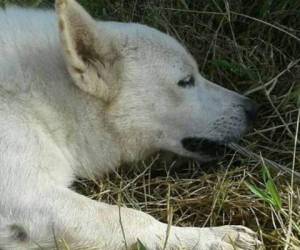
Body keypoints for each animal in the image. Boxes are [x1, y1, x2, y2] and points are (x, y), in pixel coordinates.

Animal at [0, 0, 260, 249]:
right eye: (186, 81)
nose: (253, 109)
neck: (41, 99)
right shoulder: (29, 194)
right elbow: (132, 218)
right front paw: (212, 237)